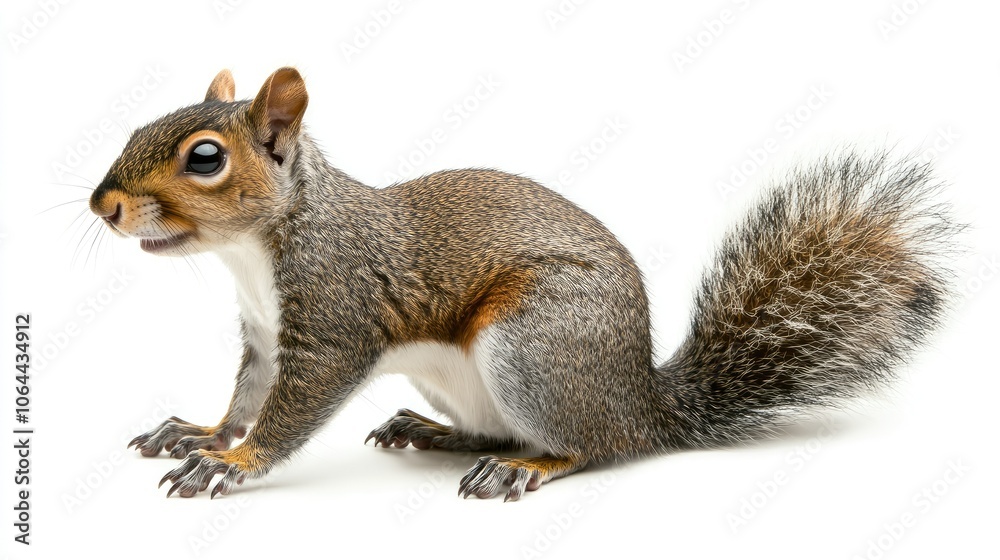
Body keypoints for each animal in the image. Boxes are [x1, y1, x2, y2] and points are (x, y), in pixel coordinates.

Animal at [88, 68, 959, 501]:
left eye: (205, 158)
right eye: (136, 126)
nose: (104, 205)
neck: (257, 252)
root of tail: (642, 404)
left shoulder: (333, 319)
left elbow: (290, 409)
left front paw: (235, 465)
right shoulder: (266, 337)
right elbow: (245, 396)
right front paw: (205, 434)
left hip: (533, 345)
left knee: (587, 447)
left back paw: (530, 468)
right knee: (496, 430)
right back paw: (437, 432)